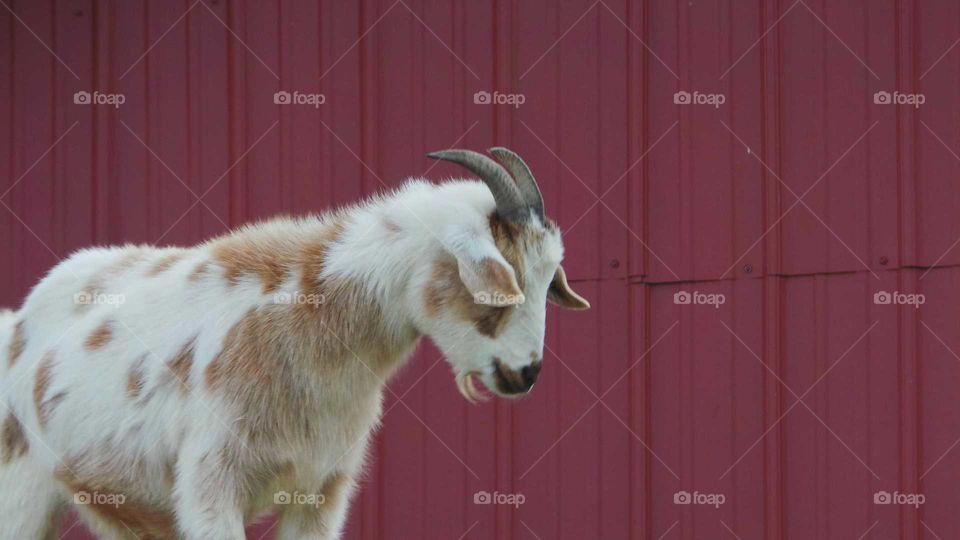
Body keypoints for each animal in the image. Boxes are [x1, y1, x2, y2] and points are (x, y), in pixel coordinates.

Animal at [0, 148, 589, 539]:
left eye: (549, 281)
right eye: (499, 280)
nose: (525, 372)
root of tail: (18, 320)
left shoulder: (320, 491)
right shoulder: (210, 484)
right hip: (20, 487)